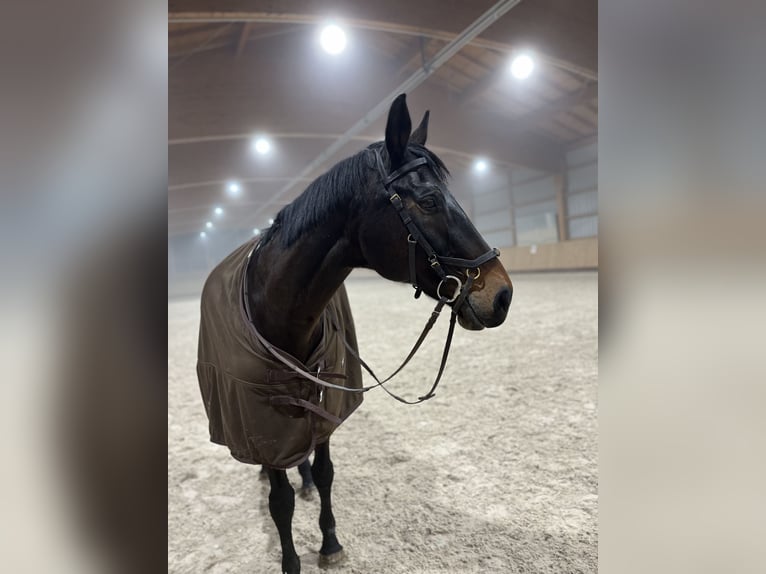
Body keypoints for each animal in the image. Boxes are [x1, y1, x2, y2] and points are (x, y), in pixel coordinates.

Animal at [197, 94, 513, 573]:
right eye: (429, 201)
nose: (502, 295)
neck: (278, 311)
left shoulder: (326, 399)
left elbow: (326, 473)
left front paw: (329, 542)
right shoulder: (261, 418)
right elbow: (280, 501)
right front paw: (292, 560)